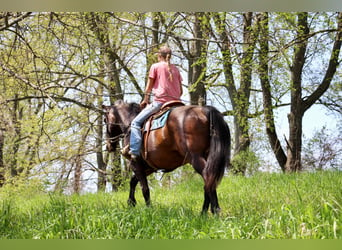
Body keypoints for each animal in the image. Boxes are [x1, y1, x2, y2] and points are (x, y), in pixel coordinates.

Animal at [101, 99, 230, 213]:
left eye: (105, 120)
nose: (108, 146)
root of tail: (206, 110)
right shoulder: (148, 167)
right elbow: (133, 181)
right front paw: (131, 202)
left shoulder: (135, 164)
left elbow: (144, 188)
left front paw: (149, 209)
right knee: (208, 181)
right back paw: (204, 212)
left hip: (196, 158)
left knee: (208, 177)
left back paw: (214, 210)